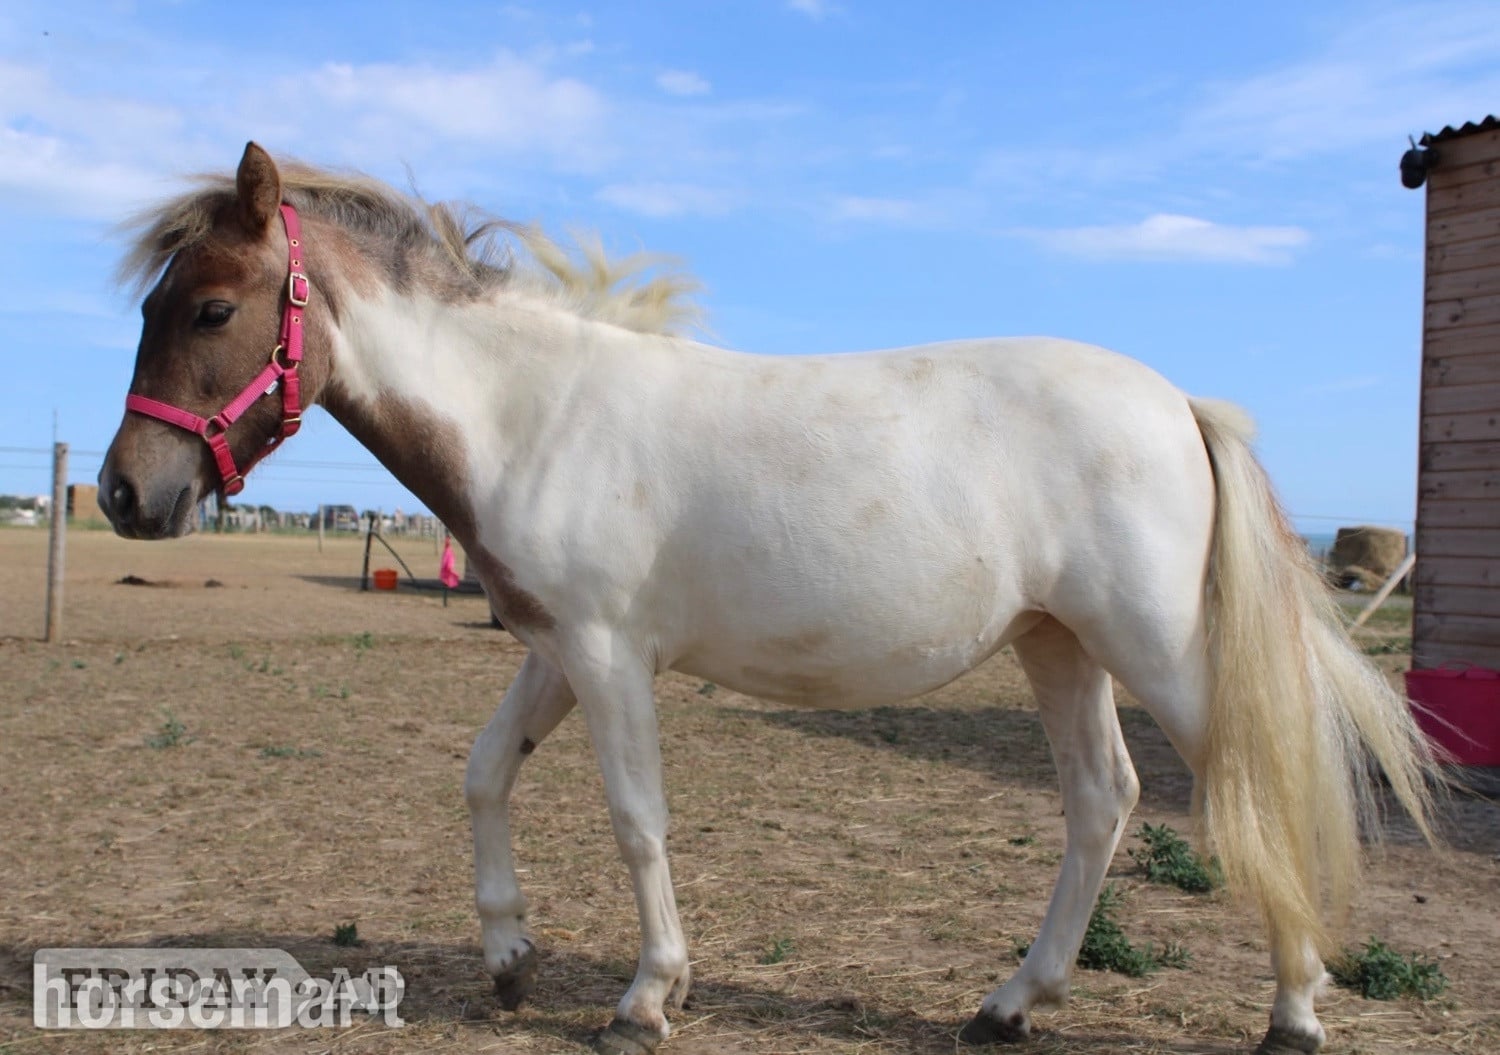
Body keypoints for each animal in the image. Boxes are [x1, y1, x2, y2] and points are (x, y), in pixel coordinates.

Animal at [98, 142, 1437, 1055]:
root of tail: (1179, 403)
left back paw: (1293, 1011)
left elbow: (637, 819)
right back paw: (1009, 1002)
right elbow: (482, 773)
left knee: (1243, 785)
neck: (537, 414)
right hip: (1059, 646)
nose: (123, 491)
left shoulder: (608, 654)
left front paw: (646, 997)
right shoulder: (553, 649)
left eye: (211, 307)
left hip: (1152, 648)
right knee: (1101, 802)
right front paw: (512, 955)